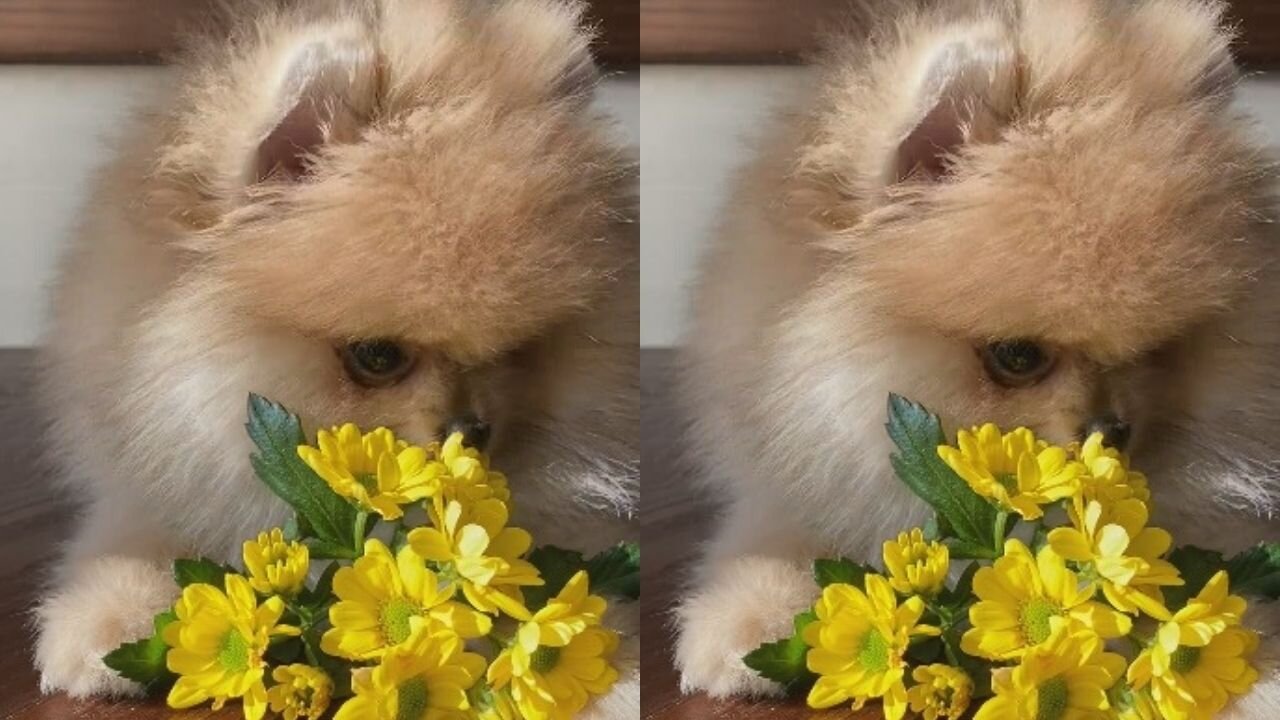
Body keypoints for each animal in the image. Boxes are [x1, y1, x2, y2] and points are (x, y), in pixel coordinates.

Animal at [37, 0, 637, 707]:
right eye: (376, 355)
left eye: (514, 352)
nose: (471, 429)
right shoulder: (159, 474)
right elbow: (132, 539)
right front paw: (105, 621)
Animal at [675, 0, 1274, 712]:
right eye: (1016, 355)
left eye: (1154, 353)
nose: (1112, 430)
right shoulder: (798, 479)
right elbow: (770, 541)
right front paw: (748, 622)